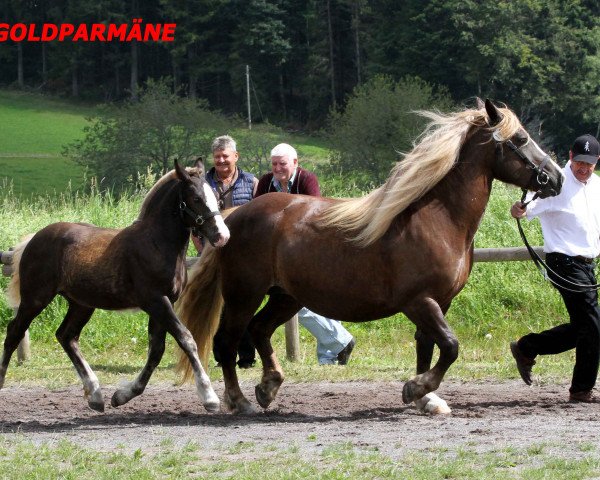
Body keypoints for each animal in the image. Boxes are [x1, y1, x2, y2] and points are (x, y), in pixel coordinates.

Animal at [0, 160, 230, 412]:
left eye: (216, 197)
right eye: (196, 198)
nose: (222, 236)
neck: (156, 243)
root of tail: (33, 239)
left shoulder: (164, 303)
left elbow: (156, 350)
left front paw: (122, 396)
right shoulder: (155, 301)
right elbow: (186, 339)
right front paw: (209, 397)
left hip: (81, 304)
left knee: (66, 336)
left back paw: (95, 395)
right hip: (36, 298)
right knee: (14, 331)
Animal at [176, 100, 564, 412]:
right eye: (520, 140)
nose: (556, 178)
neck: (438, 218)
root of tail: (233, 217)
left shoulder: (439, 302)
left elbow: (428, 347)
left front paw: (426, 398)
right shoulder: (420, 301)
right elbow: (450, 346)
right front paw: (416, 389)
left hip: (286, 297)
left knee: (259, 330)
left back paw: (268, 387)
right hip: (243, 294)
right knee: (227, 343)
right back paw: (239, 400)